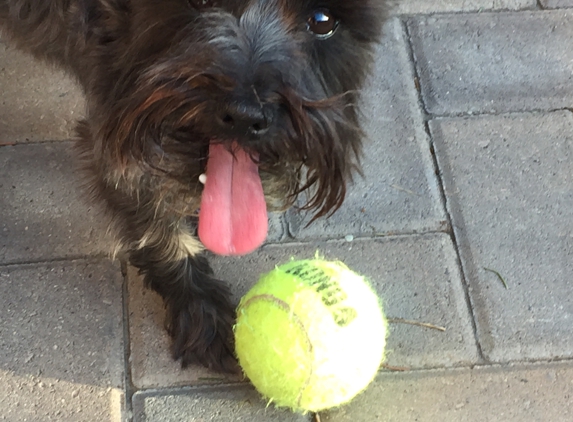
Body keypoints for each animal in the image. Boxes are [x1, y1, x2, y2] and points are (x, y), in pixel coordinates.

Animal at [0, 0, 386, 370]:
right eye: (199, 2)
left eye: (322, 21)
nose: (245, 115)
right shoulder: (114, 127)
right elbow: (156, 222)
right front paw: (201, 310)